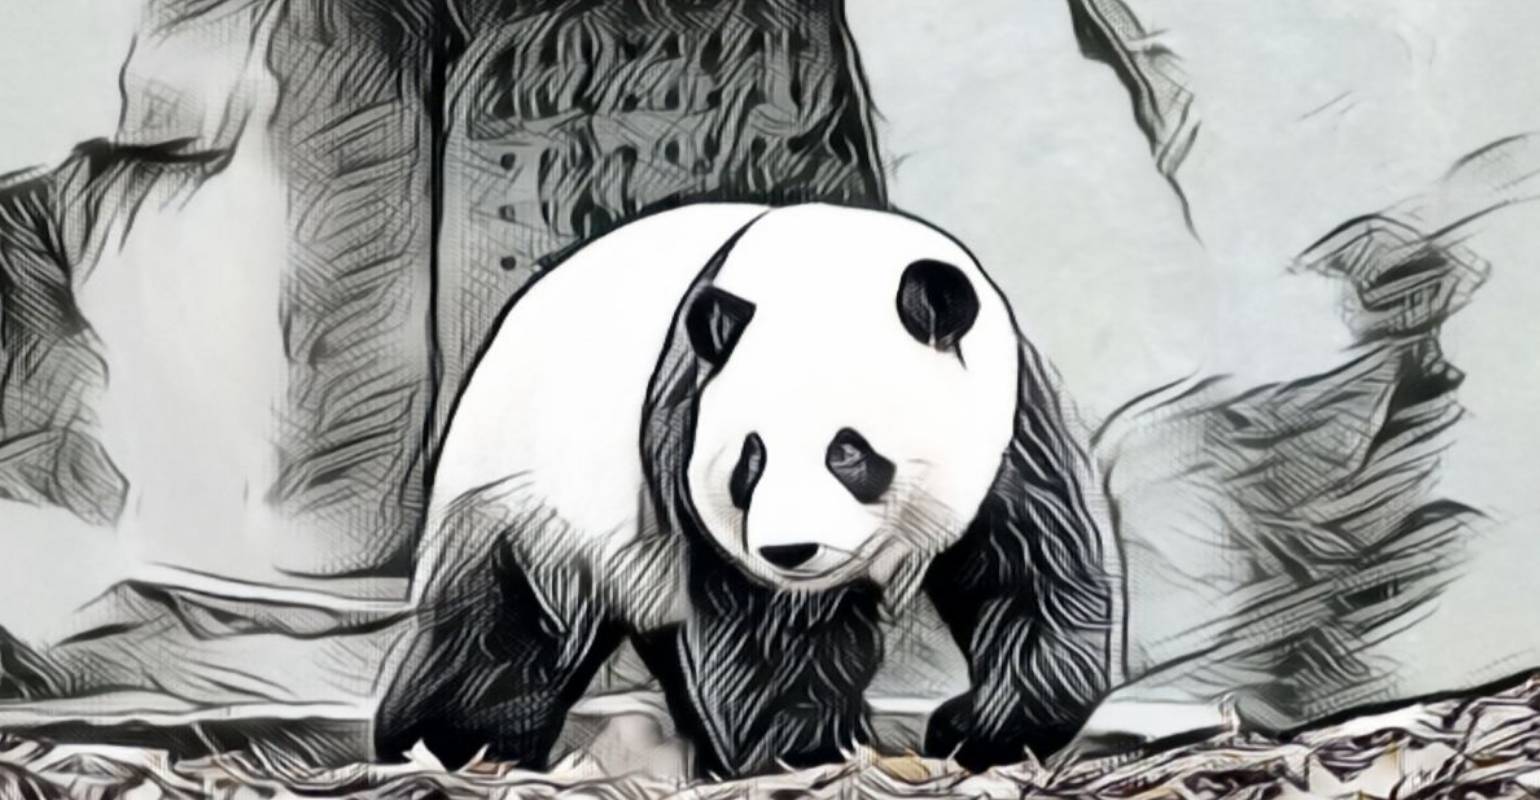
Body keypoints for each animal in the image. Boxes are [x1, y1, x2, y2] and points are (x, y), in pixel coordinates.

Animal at [372, 202, 1114, 778]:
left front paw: (978, 731)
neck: (827, 260)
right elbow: (766, 627)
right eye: (749, 462)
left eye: (848, 451)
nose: (792, 550)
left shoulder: (1014, 418)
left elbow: (1035, 571)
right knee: (504, 629)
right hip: (532, 494)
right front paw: (807, 751)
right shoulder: (684, 427)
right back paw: (447, 742)